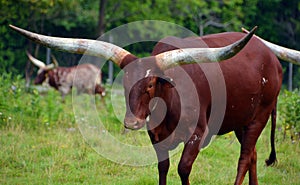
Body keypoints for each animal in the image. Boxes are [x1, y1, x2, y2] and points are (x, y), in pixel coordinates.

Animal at [9, 24, 300, 185]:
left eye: (150, 86)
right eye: (124, 82)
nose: (131, 122)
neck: (170, 102)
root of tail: (269, 56)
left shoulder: (197, 134)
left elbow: (183, 169)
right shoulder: (155, 135)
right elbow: (163, 168)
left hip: (260, 115)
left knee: (244, 158)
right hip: (241, 120)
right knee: (252, 156)